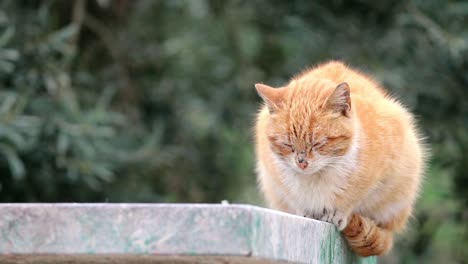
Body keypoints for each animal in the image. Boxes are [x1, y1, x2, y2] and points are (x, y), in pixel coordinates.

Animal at [254, 60, 426, 256]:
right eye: (287, 144)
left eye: (318, 143)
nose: (302, 163)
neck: (317, 177)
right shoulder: (276, 178)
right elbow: (296, 199)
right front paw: (306, 211)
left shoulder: (374, 175)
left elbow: (351, 198)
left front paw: (337, 213)